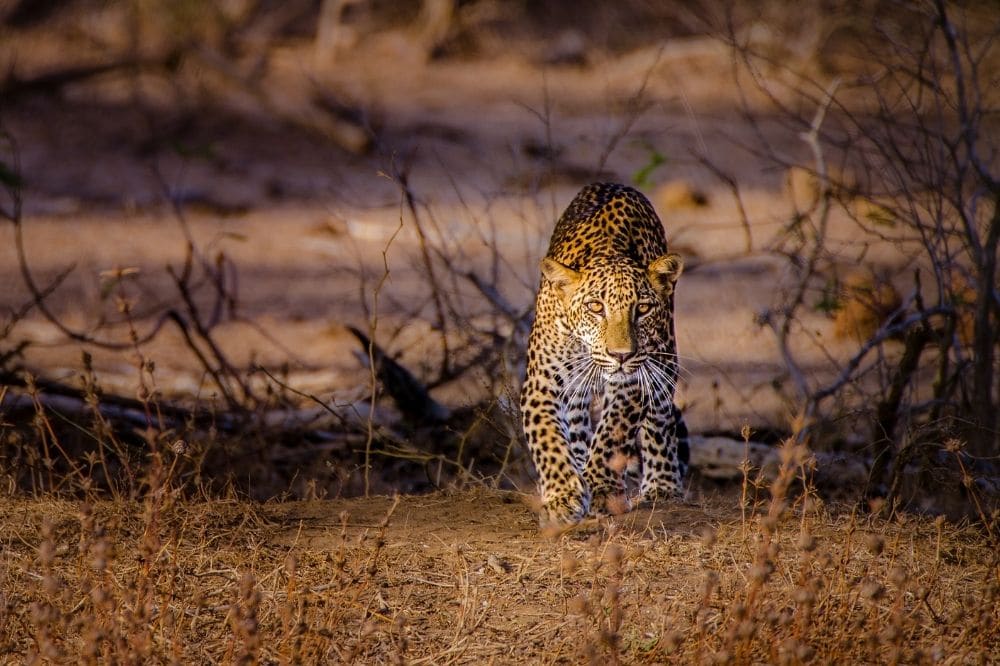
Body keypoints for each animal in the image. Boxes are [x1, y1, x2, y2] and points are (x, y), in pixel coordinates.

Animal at [520, 182, 692, 524]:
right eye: (595, 307)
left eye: (642, 309)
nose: (621, 355)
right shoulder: (541, 382)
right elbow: (547, 438)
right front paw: (563, 496)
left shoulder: (633, 380)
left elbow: (613, 432)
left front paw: (601, 488)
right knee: (576, 423)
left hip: (663, 359)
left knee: (661, 418)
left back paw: (662, 485)